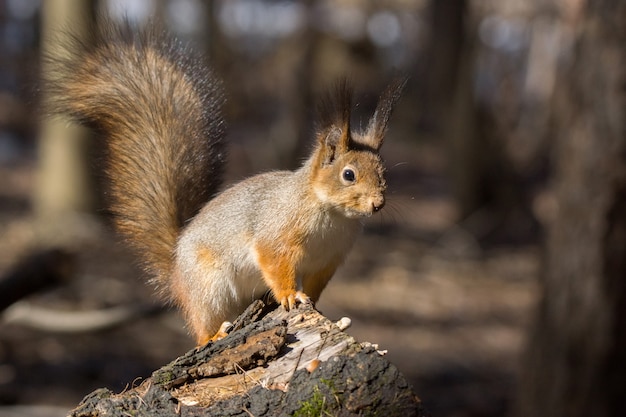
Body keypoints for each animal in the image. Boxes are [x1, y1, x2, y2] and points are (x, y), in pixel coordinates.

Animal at [44, 22, 404, 344]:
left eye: (384, 171)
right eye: (348, 174)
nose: (378, 204)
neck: (332, 214)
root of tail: (176, 267)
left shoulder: (328, 260)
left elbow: (316, 285)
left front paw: (313, 304)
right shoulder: (277, 232)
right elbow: (273, 260)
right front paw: (290, 295)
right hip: (209, 289)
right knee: (201, 330)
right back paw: (214, 335)